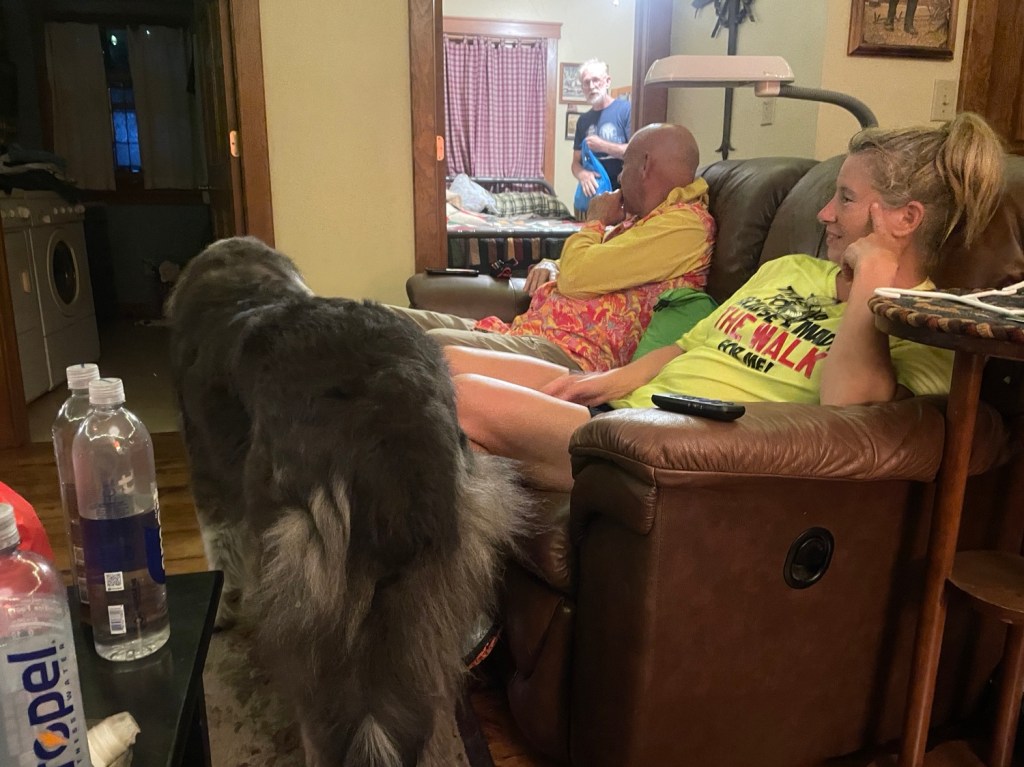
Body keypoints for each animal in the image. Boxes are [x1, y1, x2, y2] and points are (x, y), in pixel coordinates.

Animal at [165, 236, 529, 766]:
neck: (245, 283)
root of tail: (390, 410)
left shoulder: (210, 477)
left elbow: (221, 551)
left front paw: (223, 615)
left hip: (310, 576)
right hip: (434, 584)